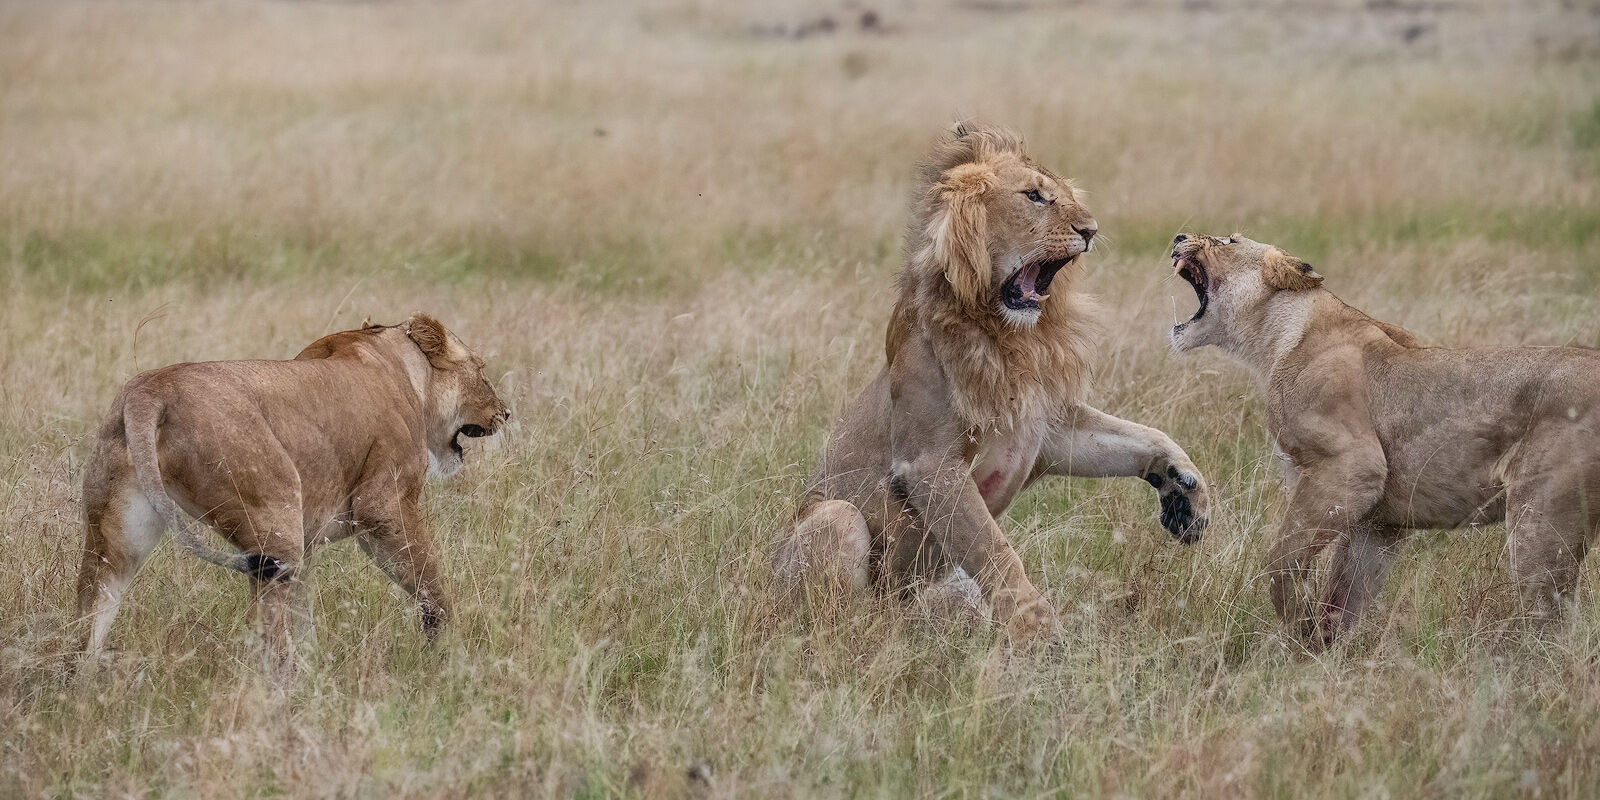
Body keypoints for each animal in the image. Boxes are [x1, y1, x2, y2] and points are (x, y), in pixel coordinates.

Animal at [75, 313, 510, 678]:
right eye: (481, 370)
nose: (505, 414)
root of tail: (149, 391)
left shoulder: (310, 537)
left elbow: (305, 614)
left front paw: (318, 661)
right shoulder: (383, 507)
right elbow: (429, 579)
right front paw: (448, 651)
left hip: (116, 535)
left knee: (91, 612)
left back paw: (79, 690)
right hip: (275, 520)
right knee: (266, 630)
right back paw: (289, 689)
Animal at [772, 124, 1212, 642]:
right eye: (1034, 197)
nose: (1090, 230)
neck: (1011, 340)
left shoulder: (1046, 429)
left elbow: (1144, 436)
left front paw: (1186, 491)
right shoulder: (929, 462)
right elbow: (994, 549)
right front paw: (1037, 629)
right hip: (833, 524)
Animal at [1169, 232, 1600, 646]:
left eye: (1230, 241)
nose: (1178, 237)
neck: (1277, 340)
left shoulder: (1352, 468)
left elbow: (1280, 562)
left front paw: (1296, 628)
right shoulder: (1375, 524)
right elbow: (1343, 599)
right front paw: (1320, 651)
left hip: (1539, 519)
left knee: (1551, 625)